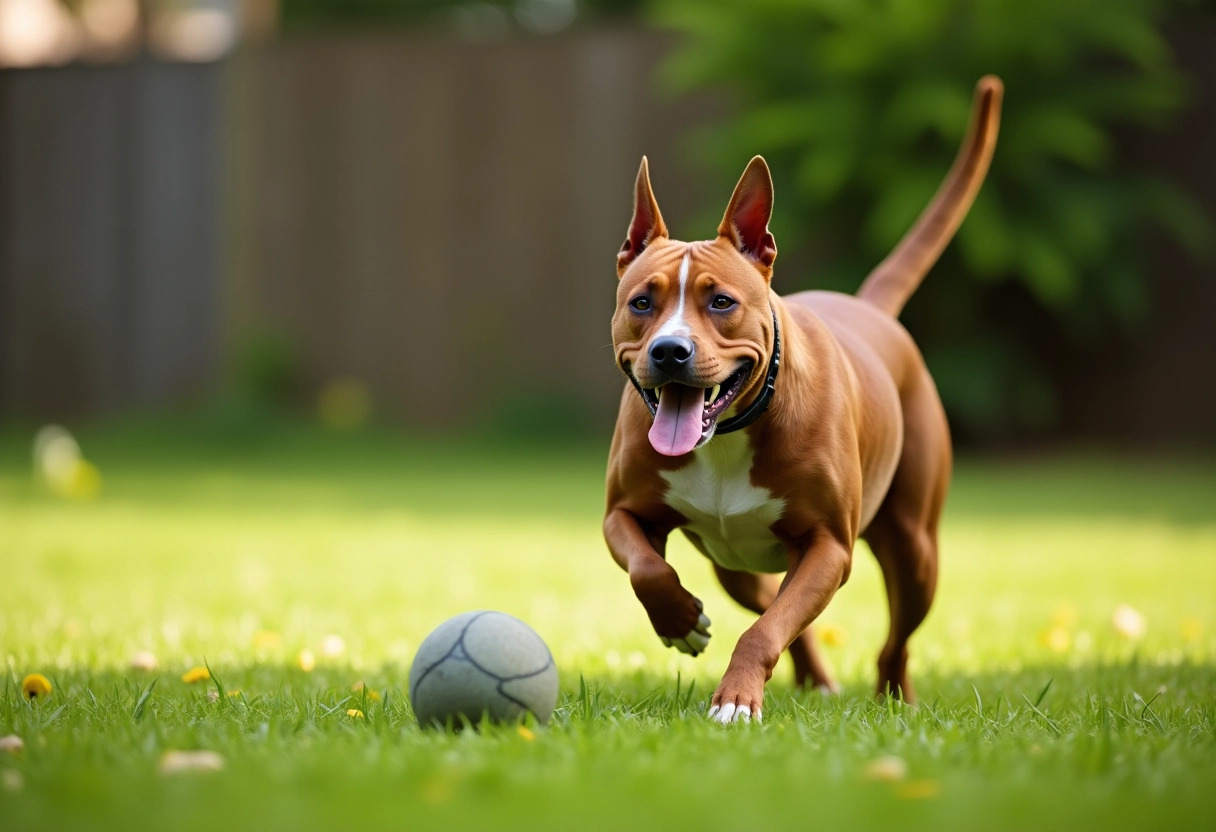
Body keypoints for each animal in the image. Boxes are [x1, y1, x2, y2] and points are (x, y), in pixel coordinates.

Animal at [603, 76, 1001, 720]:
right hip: (733, 564)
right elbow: (649, 570)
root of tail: (868, 307)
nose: (669, 351)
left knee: (892, 636)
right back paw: (816, 679)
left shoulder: (828, 547)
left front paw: (736, 698)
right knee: (777, 605)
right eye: (642, 302)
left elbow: (766, 629)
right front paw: (681, 621)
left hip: (915, 551)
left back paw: (894, 696)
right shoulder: (623, 514)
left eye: (721, 302)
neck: (730, 434)